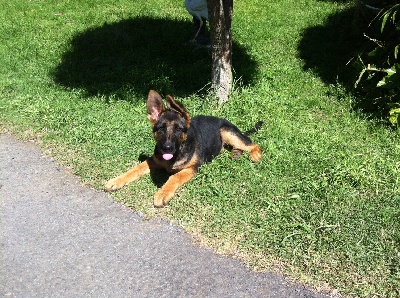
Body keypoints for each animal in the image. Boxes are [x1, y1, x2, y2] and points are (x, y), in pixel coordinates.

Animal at [104, 91, 264, 207]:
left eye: (178, 129)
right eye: (161, 128)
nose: (167, 148)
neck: (176, 153)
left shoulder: (192, 168)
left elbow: (175, 177)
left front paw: (162, 193)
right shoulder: (154, 160)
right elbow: (135, 168)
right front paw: (116, 180)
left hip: (227, 132)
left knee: (253, 144)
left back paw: (254, 155)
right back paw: (236, 153)